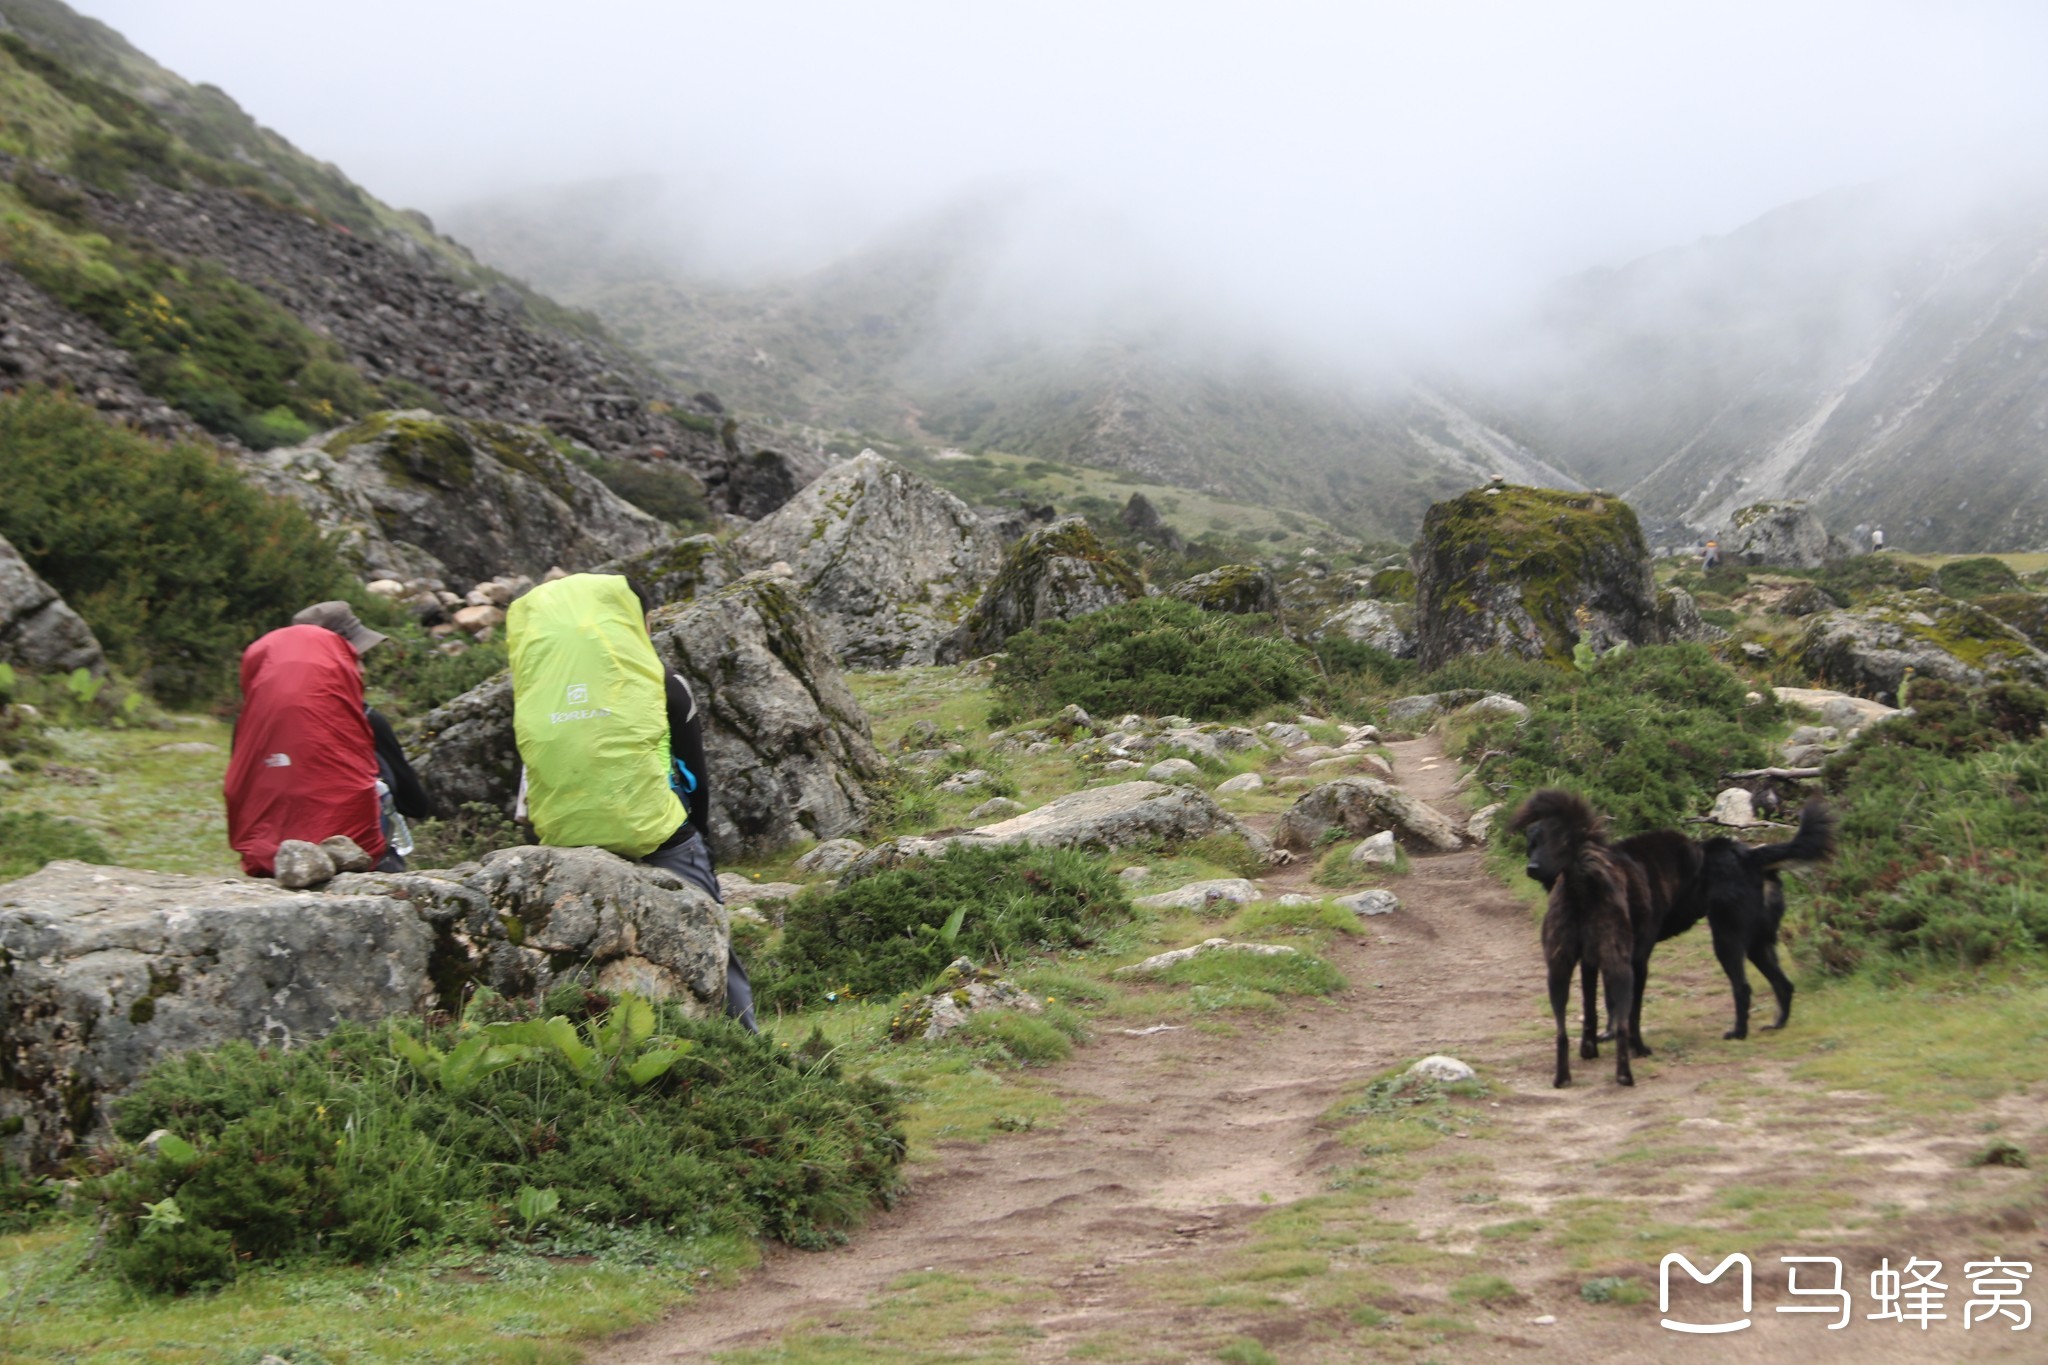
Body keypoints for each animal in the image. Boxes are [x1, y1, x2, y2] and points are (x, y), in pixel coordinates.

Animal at [1507, 789, 1646, 1088]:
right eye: (1533, 843)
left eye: (1540, 843)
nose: (1532, 867)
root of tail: (1581, 878)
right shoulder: (1594, 963)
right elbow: (1597, 1005)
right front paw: (1591, 1047)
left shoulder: (1587, 962)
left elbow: (1590, 1007)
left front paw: (1589, 1047)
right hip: (1618, 965)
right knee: (1621, 1023)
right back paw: (1622, 1075)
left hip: (1558, 970)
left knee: (1562, 1033)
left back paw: (1564, 1078)